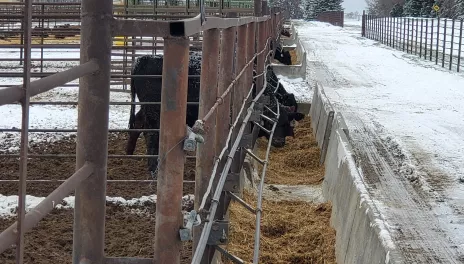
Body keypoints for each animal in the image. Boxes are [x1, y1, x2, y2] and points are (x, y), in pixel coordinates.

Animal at [125, 52, 304, 174]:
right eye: (270, 121)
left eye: (286, 122)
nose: (279, 142)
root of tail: (142, 59)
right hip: (154, 112)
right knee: (151, 134)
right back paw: (153, 167)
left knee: (137, 122)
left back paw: (129, 154)